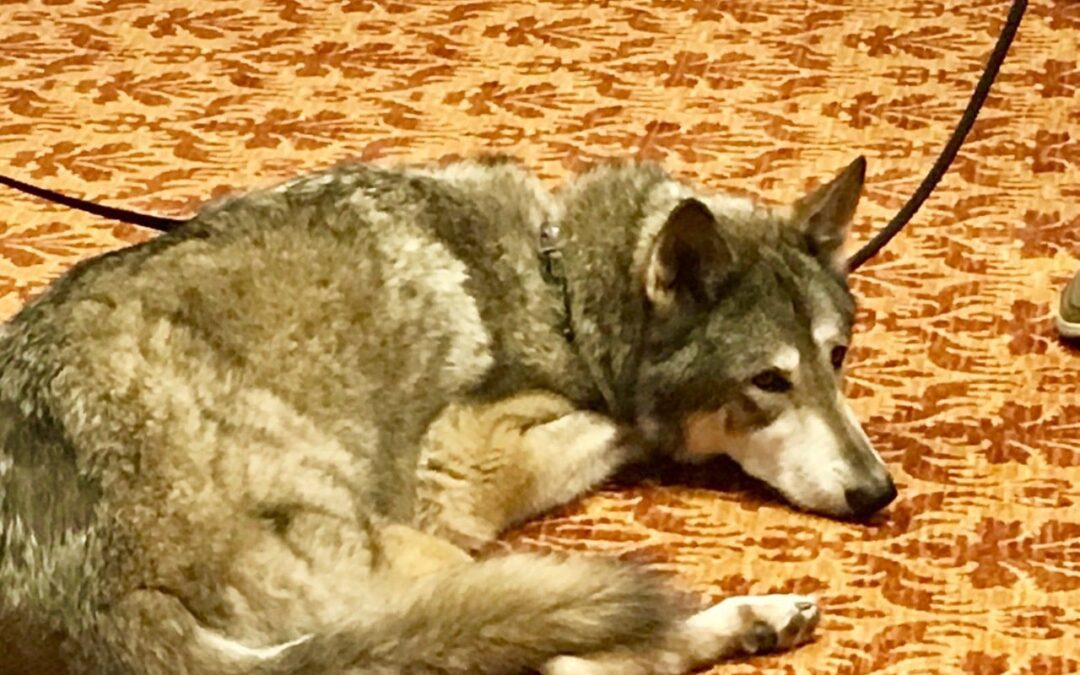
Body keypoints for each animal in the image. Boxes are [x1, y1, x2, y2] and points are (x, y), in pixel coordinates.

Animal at [0, 154, 895, 674]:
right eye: (769, 381)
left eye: (837, 357)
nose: (879, 493)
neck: (555, 280)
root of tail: (102, 607)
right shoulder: (462, 472)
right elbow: (628, 424)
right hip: (446, 567)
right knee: (582, 661)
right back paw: (750, 616)